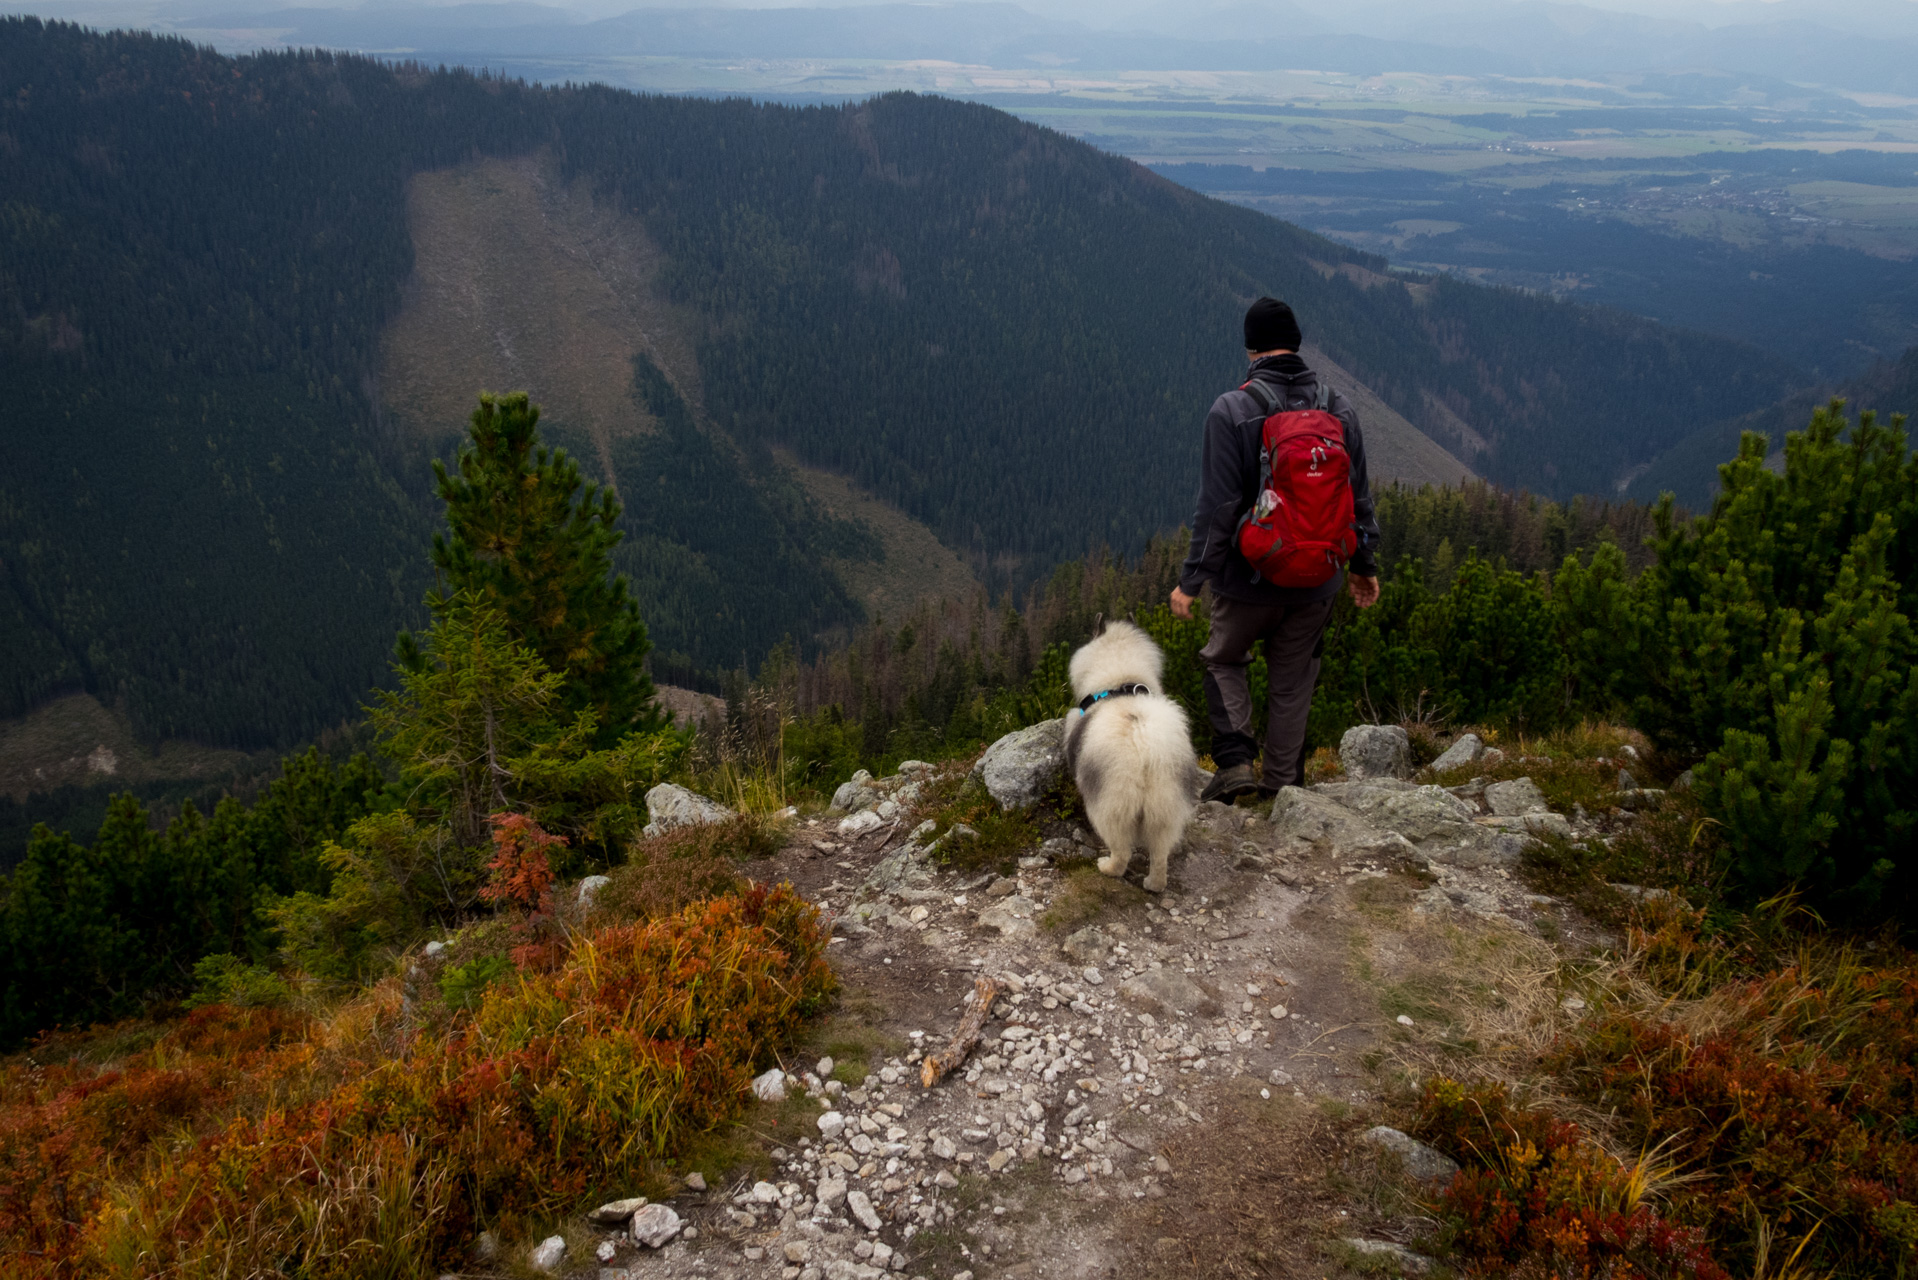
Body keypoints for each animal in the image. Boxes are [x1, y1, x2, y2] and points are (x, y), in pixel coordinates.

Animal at [1066, 614, 1196, 898]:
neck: (1120, 685)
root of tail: (1144, 742)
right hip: (1165, 807)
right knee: (1159, 855)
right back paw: (1154, 885)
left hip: (1109, 805)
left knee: (1122, 850)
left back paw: (1107, 867)